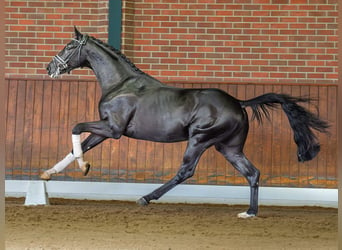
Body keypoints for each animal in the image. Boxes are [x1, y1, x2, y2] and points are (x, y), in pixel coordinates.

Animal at [42, 28, 328, 218]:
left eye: (69, 46)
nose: (50, 68)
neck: (121, 85)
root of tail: (238, 102)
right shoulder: (104, 129)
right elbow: (79, 145)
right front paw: (49, 173)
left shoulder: (113, 130)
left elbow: (76, 128)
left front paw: (84, 167)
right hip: (228, 147)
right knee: (252, 173)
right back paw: (249, 212)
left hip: (200, 139)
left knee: (186, 171)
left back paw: (146, 198)